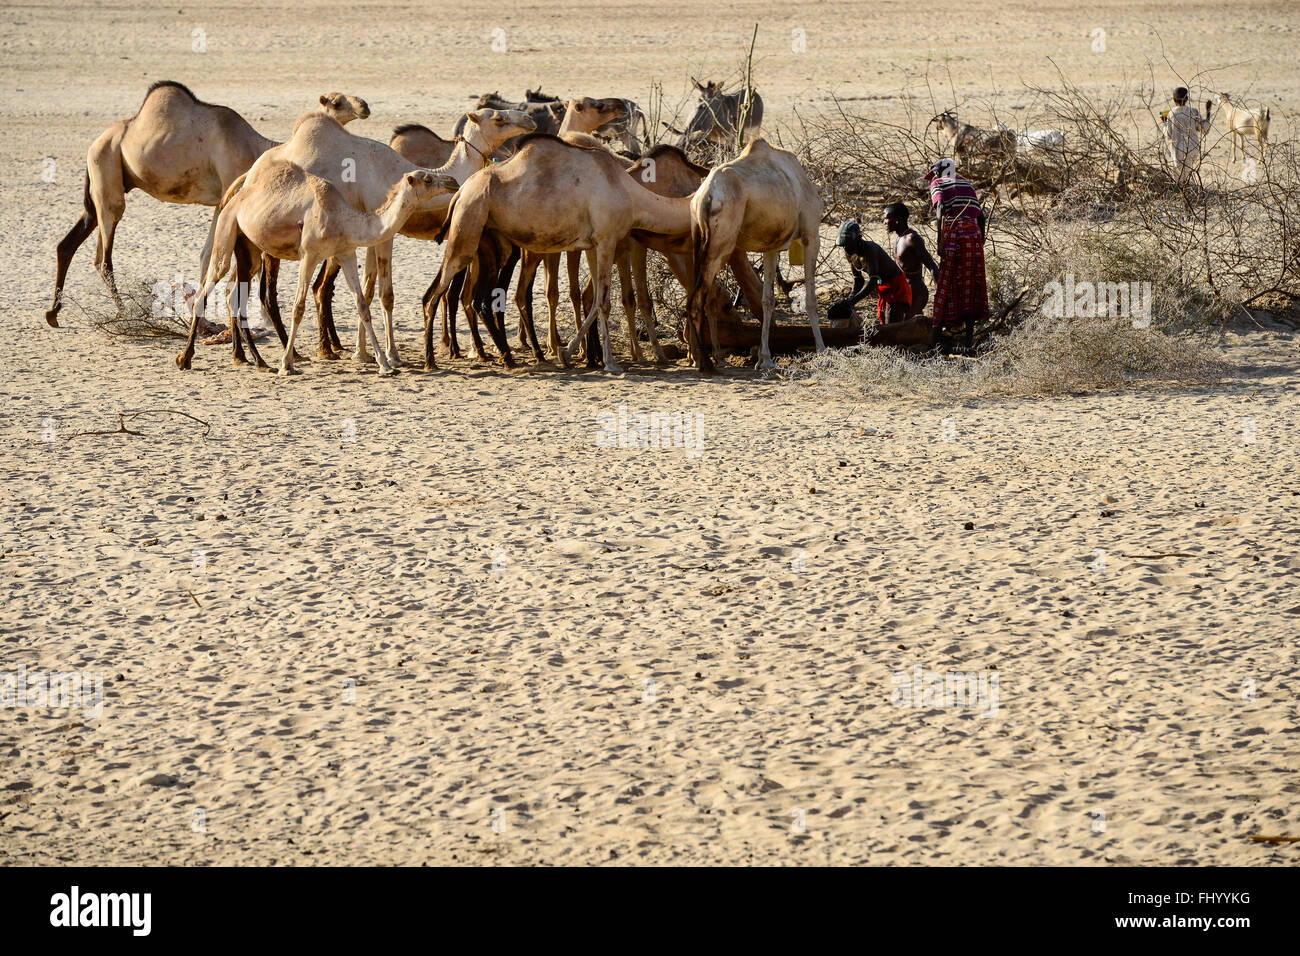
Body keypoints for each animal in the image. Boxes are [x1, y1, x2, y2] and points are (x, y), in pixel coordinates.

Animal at [46, 82, 369, 328]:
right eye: (337, 101)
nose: (364, 105)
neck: (258, 148)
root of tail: (95, 143)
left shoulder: (224, 201)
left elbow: (205, 253)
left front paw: (204, 318)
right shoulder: (231, 193)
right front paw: (252, 319)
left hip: (101, 184)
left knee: (69, 242)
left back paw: (53, 313)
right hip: (108, 177)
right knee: (103, 254)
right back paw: (123, 313)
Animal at [176, 164, 456, 375]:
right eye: (428, 179)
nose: (453, 181)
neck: (343, 218)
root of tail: (233, 195)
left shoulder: (345, 252)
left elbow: (362, 306)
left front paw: (385, 365)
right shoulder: (309, 254)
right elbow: (298, 308)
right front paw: (286, 364)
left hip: (249, 246)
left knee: (234, 292)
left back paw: (255, 361)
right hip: (227, 228)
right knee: (207, 288)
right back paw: (185, 358)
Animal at [423, 134, 694, 373]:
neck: (630, 194)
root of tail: (460, 191)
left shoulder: (594, 245)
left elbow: (594, 299)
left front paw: (570, 354)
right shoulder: (607, 239)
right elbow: (603, 300)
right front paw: (608, 362)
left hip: (485, 236)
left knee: (460, 295)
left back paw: (503, 357)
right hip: (468, 223)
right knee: (436, 294)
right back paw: (432, 361)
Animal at [689, 139, 824, 373]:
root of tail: (704, 197)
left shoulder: (772, 246)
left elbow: (767, 299)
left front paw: (765, 359)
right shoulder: (811, 235)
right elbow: (810, 299)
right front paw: (823, 350)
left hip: (698, 244)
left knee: (696, 296)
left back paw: (705, 359)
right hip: (720, 245)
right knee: (700, 298)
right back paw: (707, 363)